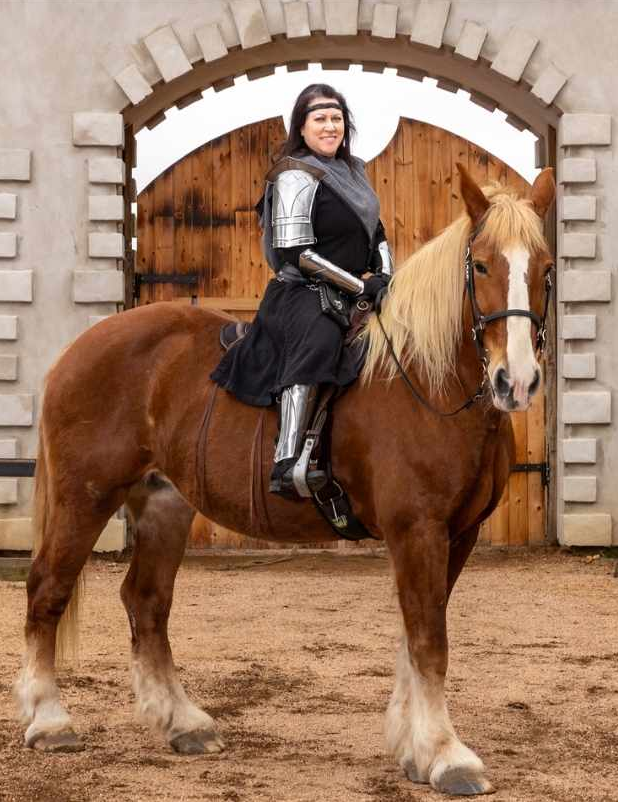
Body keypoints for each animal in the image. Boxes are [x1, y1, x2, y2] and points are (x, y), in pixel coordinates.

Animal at [15, 163, 555, 796]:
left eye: (545, 268)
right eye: (482, 265)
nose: (516, 381)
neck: (427, 380)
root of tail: (79, 350)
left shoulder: (456, 535)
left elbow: (415, 635)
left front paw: (413, 747)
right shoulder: (417, 530)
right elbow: (428, 641)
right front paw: (446, 755)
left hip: (163, 504)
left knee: (145, 602)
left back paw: (181, 722)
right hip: (85, 495)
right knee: (47, 590)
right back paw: (50, 720)